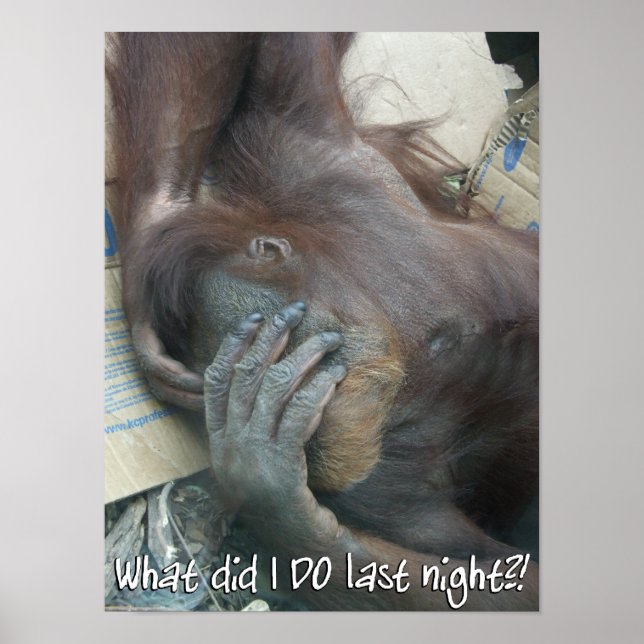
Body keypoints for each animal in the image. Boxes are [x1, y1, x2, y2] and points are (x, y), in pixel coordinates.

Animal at [106, 32, 539, 610]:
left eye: (263, 358)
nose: (305, 429)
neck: (412, 346)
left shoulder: (311, 155)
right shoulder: (377, 493)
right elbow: (498, 570)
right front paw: (261, 474)